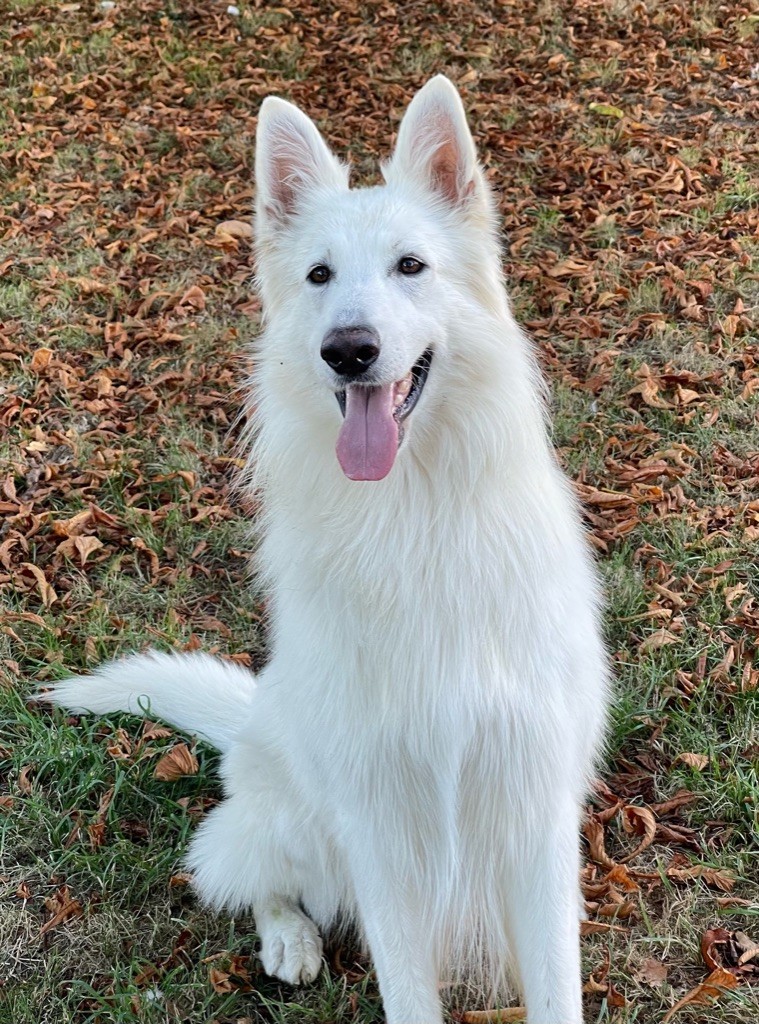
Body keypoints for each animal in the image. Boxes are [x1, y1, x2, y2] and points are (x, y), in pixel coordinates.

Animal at [43, 75, 610, 1019]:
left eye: (410, 266)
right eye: (318, 275)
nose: (348, 350)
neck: (413, 521)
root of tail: (248, 720)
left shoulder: (531, 813)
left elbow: (556, 987)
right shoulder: (381, 830)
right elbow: (407, 991)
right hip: (294, 823)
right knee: (244, 874)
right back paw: (288, 939)